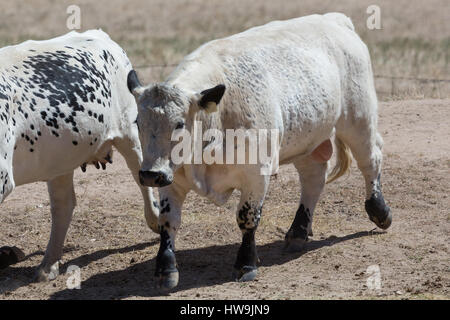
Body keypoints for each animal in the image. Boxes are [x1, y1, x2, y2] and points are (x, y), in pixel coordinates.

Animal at [0, 29, 160, 280]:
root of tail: (98, 35)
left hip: (129, 132)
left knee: (141, 178)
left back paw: (156, 221)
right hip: (59, 160)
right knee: (63, 205)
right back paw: (48, 265)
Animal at [126, 13, 390, 292]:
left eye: (178, 124)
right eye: (138, 122)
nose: (149, 174)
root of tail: (334, 19)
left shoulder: (256, 175)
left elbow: (248, 218)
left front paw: (246, 264)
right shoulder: (172, 177)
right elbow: (169, 221)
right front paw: (165, 269)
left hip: (358, 119)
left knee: (371, 159)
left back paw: (379, 210)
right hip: (307, 140)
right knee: (313, 178)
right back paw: (298, 232)